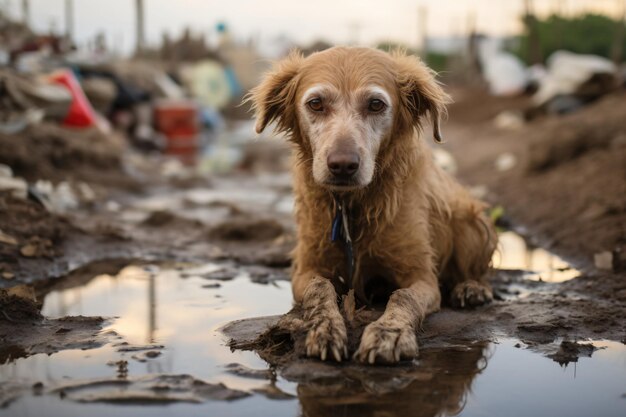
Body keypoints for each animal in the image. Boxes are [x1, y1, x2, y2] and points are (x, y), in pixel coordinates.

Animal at [246, 46, 494, 364]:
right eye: (316, 103)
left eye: (376, 104)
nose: (342, 165)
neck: (353, 206)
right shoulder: (306, 270)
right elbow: (320, 288)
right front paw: (325, 328)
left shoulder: (423, 277)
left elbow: (403, 297)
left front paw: (390, 333)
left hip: (469, 221)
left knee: (477, 268)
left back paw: (472, 288)